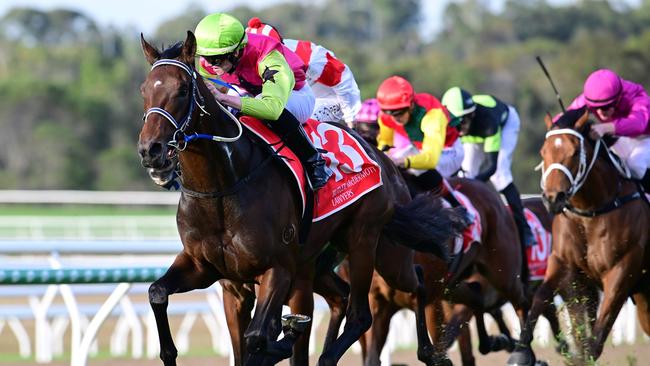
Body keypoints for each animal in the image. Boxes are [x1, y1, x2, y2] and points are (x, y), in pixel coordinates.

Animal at [139, 30, 458, 366]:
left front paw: (283, 338)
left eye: (183, 89)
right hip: (324, 261)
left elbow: (259, 336)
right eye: (144, 90)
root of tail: (386, 163)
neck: (222, 188)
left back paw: (428, 352)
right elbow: (157, 293)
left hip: (371, 244)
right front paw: (169, 351)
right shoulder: (215, 275)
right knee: (346, 296)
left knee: (386, 300)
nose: (151, 150)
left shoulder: (278, 269)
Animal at [506, 108, 648, 366]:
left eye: (573, 152)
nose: (553, 197)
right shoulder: (565, 265)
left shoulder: (622, 270)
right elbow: (540, 299)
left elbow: (595, 339)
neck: (592, 211)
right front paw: (521, 352)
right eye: (544, 151)